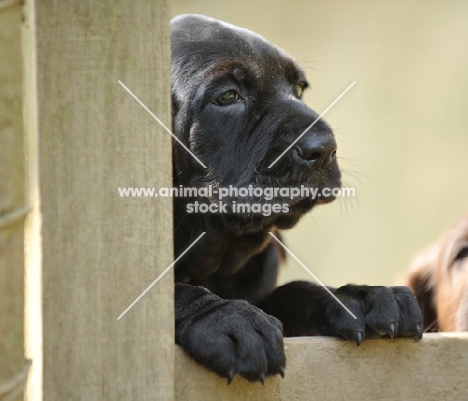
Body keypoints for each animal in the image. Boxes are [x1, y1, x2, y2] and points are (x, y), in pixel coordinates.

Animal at [170, 14, 422, 382]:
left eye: (299, 89)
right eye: (228, 95)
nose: (324, 148)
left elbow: (293, 291)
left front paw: (357, 297)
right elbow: (168, 293)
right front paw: (226, 317)